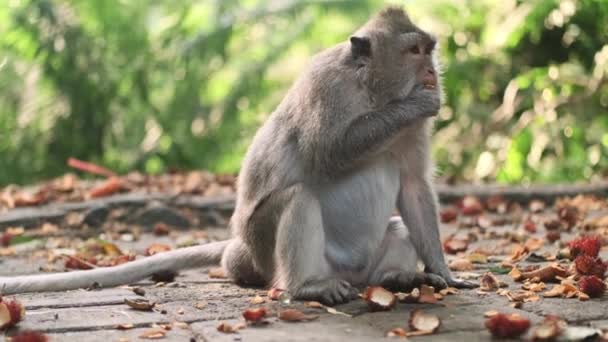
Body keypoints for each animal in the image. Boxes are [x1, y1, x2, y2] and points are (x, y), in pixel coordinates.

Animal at [0, 6, 476, 304]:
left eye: (429, 49)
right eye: (414, 51)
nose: (432, 72)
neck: (373, 93)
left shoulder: (412, 135)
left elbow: (414, 189)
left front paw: (444, 272)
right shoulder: (327, 89)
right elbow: (327, 152)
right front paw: (416, 102)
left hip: (356, 266)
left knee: (397, 227)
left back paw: (394, 278)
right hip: (267, 253)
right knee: (297, 199)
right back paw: (307, 287)